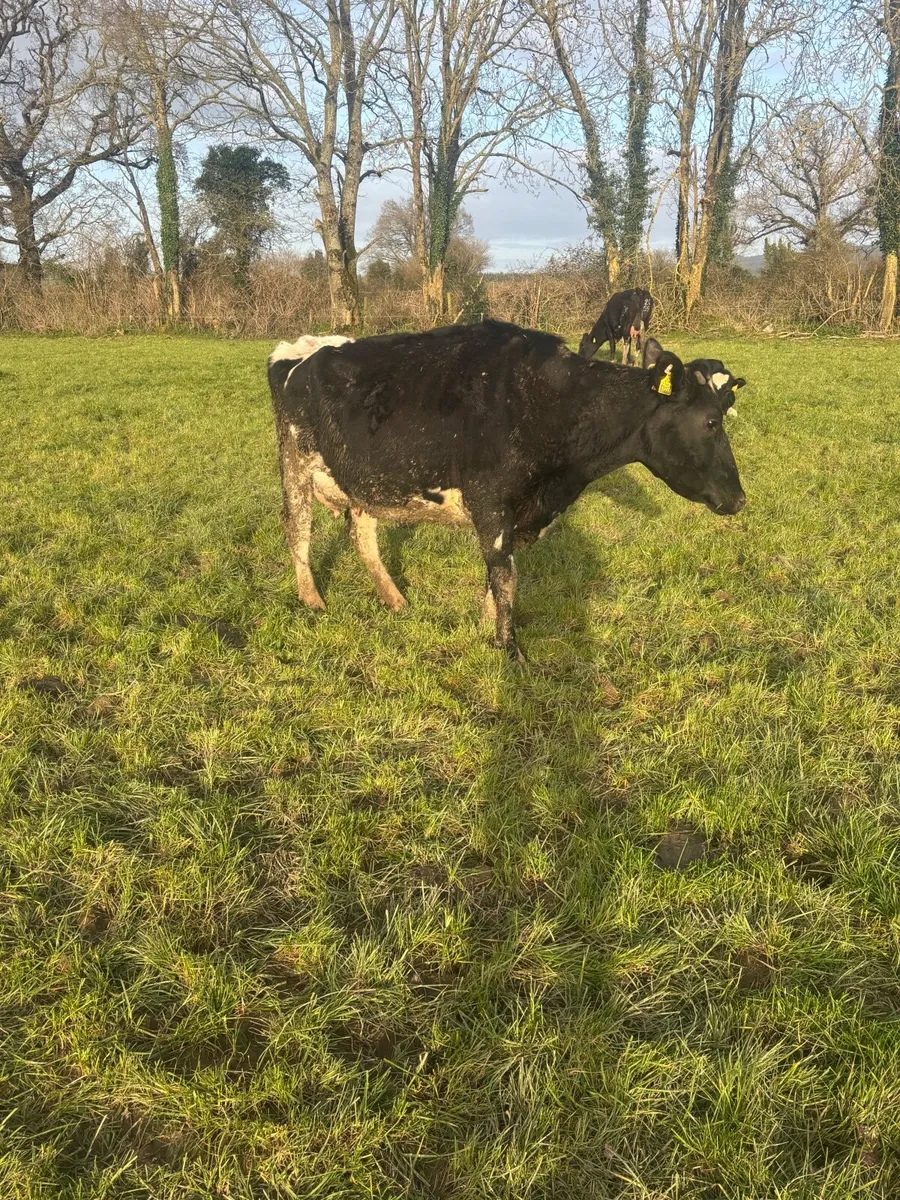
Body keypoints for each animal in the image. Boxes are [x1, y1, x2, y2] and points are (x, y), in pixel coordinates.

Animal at [269, 319, 746, 662]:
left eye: (728, 410)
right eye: (711, 421)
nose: (740, 499)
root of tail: (303, 346)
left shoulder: (523, 513)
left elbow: (497, 579)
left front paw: (486, 629)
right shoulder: (491, 501)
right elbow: (504, 576)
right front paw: (509, 650)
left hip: (364, 480)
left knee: (362, 537)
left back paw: (396, 600)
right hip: (294, 459)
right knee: (297, 530)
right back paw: (312, 599)